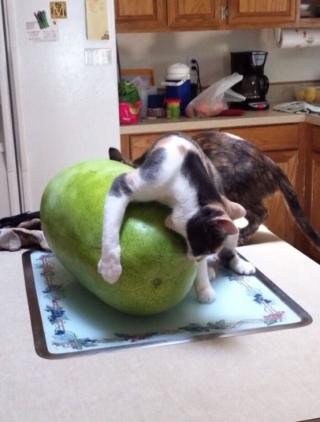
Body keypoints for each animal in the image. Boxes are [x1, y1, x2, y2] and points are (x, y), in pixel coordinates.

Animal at [99, 132, 254, 304]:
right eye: (206, 249)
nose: (196, 259)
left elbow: (201, 269)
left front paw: (204, 288)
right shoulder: (141, 180)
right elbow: (112, 222)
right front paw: (110, 266)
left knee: (231, 245)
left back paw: (239, 265)